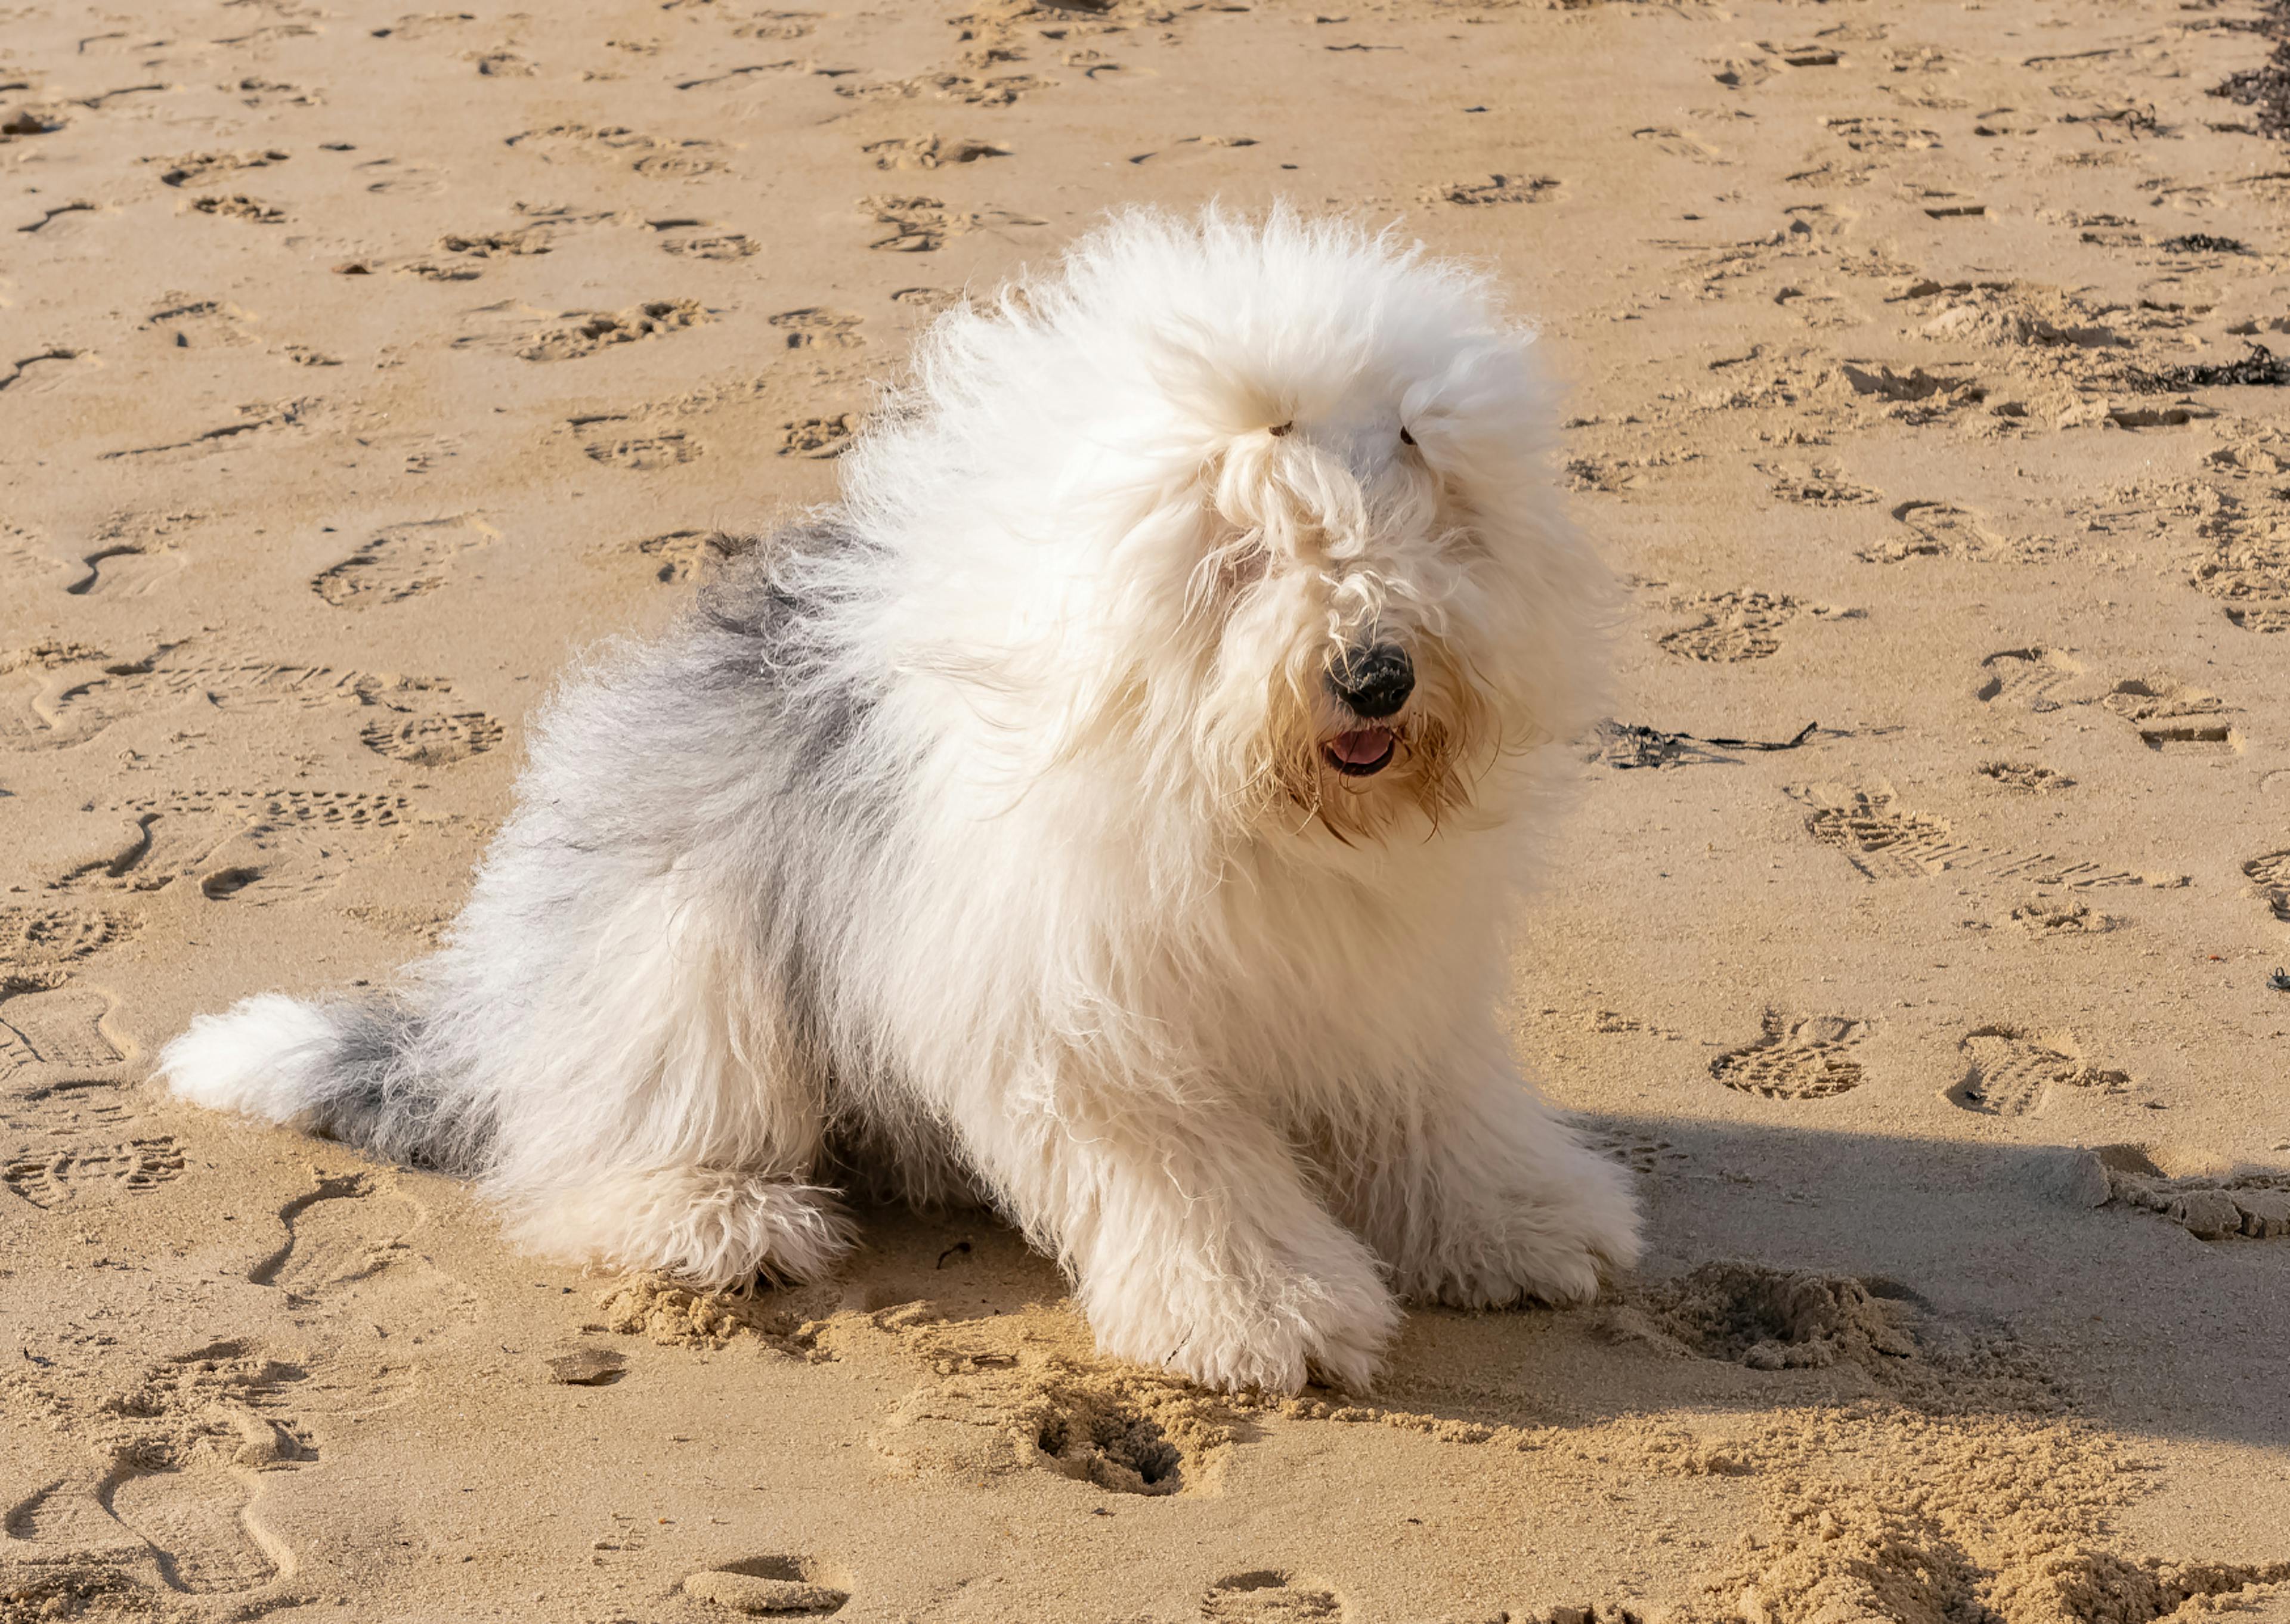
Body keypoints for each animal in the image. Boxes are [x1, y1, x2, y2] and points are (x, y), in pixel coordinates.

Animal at [174, 206, 1648, 1392]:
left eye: (1421, 509)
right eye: (1248, 547)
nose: (1377, 673)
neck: (1232, 793)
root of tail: (495, 1021)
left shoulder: (1385, 986)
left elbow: (1435, 1111)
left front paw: (1522, 1223)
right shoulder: (1087, 1023)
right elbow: (1192, 1176)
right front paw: (1261, 1314)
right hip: (683, 956)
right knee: (608, 1139)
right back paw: (718, 1218)